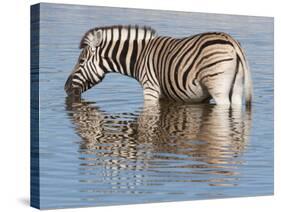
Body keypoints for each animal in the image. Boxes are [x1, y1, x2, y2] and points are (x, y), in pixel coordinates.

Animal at [65, 24, 252, 107]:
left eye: (81, 62)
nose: (65, 88)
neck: (139, 56)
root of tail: (232, 41)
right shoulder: (165, 94)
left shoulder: (150, 89)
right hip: (237, 88)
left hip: (218, 87)